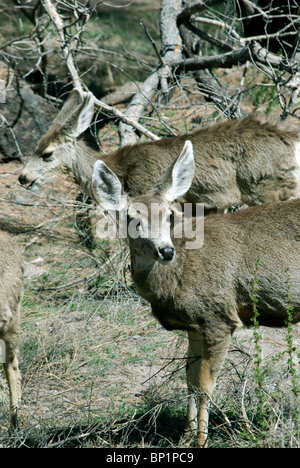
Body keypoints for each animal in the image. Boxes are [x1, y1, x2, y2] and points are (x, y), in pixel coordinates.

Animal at [18, 88, 300, 214]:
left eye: (47, 154)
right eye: (34, 146)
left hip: (268, 185)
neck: (119, 168)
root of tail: (292, 139)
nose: (22, 177)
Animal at [91, 142, 300, 446]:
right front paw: (185, 436)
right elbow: (188, 379)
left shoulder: (218, 318)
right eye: (131, 218)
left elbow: (204, 384)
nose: (166, 250)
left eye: (169, 215)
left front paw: (201, 440)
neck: (177, 280)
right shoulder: (193, 327)